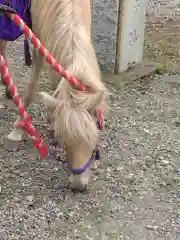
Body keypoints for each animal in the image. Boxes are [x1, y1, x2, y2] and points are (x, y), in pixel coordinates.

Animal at [0, 0, 107, 191]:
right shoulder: (40, 42)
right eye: (65, 140)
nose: (78, 185)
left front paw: (51, 116)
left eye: (93, 137)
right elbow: (32, 89)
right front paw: (18, 129)